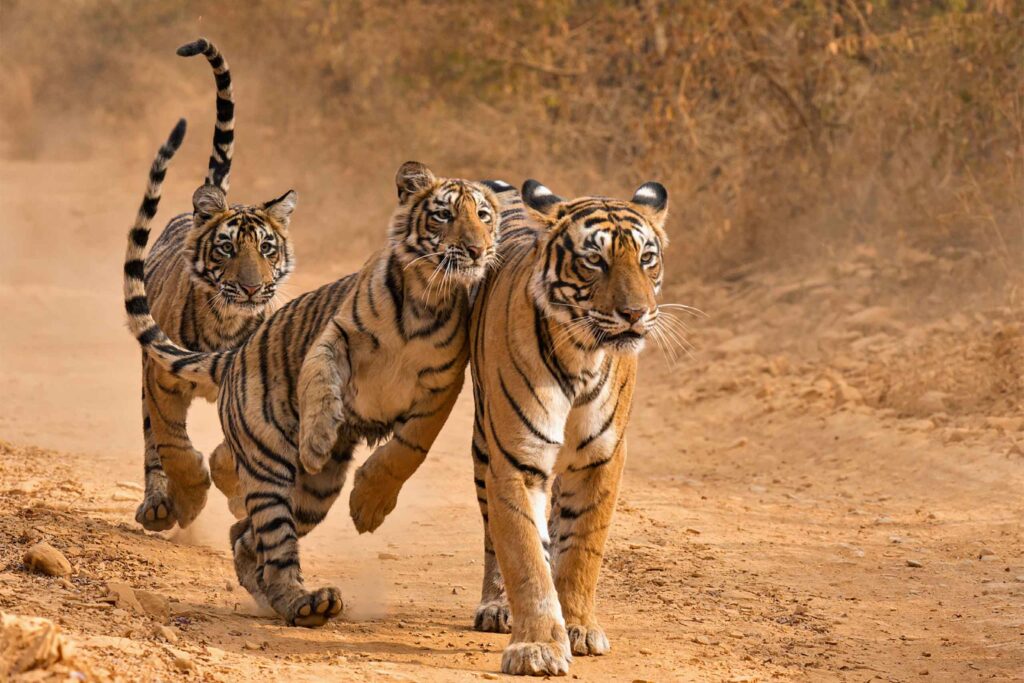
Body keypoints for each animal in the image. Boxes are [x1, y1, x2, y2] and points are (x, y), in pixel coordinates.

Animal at [124, 125, 505, 626]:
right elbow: (321, 380)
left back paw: (292, 599)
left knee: (247, 538)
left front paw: (369, 507)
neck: (426, 295)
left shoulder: (443, 385)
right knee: (269, 537)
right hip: (269, 466)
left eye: (483, 216)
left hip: (314, 494)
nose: (477, 250)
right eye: (444, 215)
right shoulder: (336, 334)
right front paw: (317, 439)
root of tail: (234, 355)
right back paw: (304, 601)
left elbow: (408, 448)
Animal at [132, 37, 298, 532]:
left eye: (266, 248)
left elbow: (233, 452)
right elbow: (174, 446)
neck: (226, 322)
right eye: (227, 248)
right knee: (152, 443)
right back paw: (159, 505)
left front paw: (234, 490)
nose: (251, 289)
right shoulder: (161, 379)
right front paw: (189, 499)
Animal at [349, 178, 670, 675]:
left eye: (646, 258)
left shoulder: (601, 460)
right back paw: (498, 606)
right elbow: (524, 555)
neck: (582, 356)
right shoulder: (515, 458)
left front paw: (578, 627)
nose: (635, 313)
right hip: (486, 446)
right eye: (594, 260)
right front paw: (536, 646)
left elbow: (582, 548)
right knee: (495, 535)